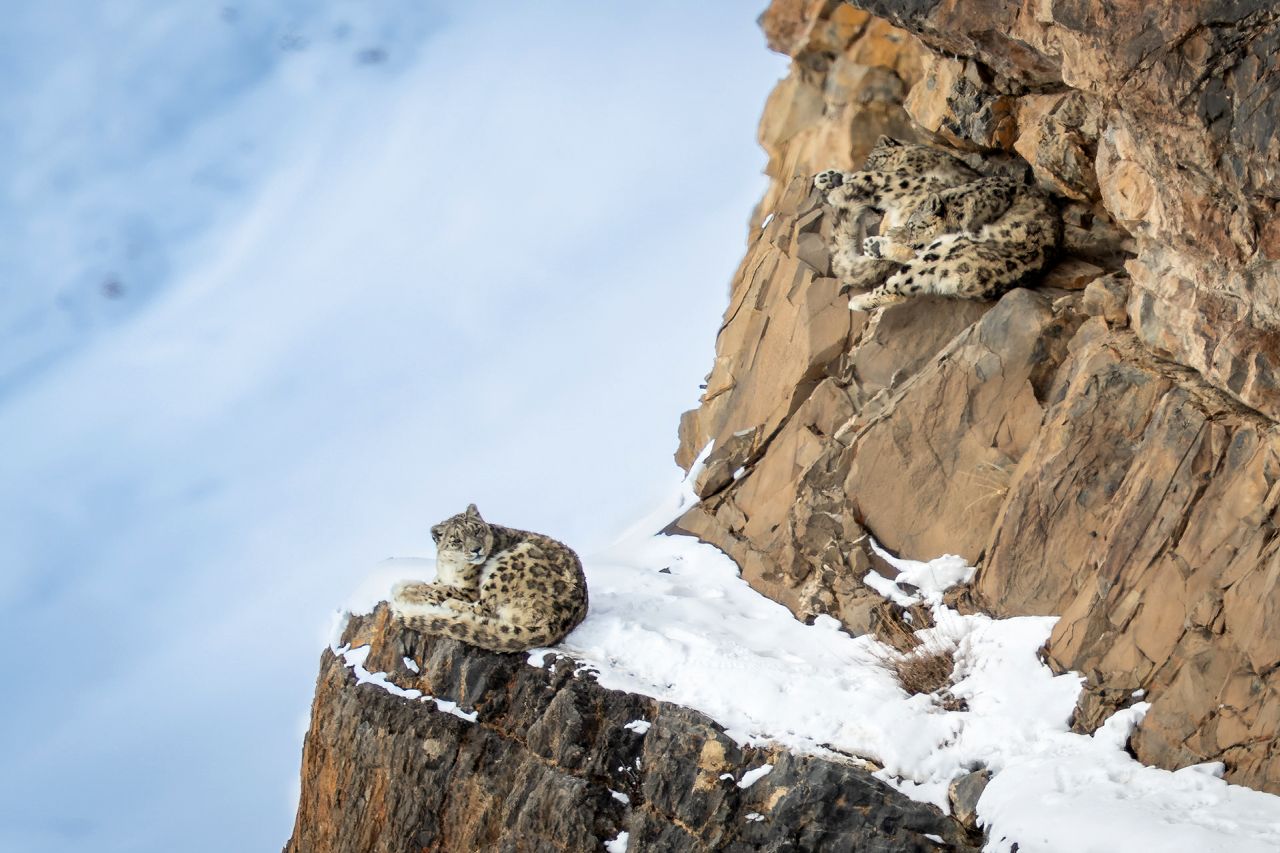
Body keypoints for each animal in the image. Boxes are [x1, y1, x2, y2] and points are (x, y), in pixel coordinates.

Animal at [390, 504, 589, 653]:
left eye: (476, 530)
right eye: (457, 540)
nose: (476, 549)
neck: (449, 566)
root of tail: (558, 623)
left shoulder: (469, 590)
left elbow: (440, 590)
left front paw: (406, 592)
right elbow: (434, 584)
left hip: (511, 562)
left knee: (486, 608)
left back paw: (450, 604)